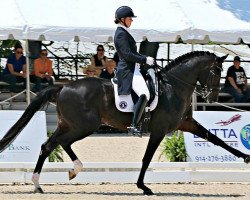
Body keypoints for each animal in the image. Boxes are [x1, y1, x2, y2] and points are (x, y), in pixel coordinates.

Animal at [0, 50, 249, 195]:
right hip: (84, 126)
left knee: (50, 145)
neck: (173, 87)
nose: (212, 98)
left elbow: (216, 139)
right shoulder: (159, 130)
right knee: (56, 144)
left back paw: (53, 178)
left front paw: (245, 157)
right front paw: (143, 187)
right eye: (216, 71)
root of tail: (63, 87)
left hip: (69, 124)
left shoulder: (185, 124)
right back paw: (51, 178)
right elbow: (147, 158)